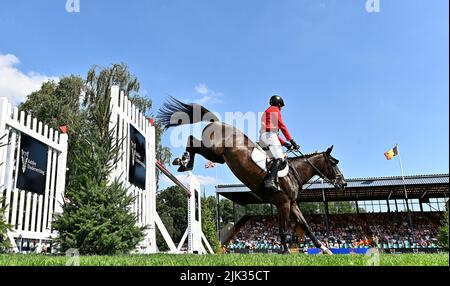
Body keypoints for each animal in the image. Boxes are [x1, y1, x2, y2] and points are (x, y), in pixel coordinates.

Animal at [158, 98, 348, 255]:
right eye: (334, 163)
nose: (343, 183)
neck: (294, 173)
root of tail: (218, 122)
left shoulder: (291, 204)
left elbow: (306, 226)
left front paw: (324, 249)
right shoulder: (284, 203)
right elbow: (284, 229)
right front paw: (286, 251)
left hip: (218, 157)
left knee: (194, 143)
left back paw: (183, 163)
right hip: (215, 149)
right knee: (192, 141)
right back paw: (183, 162)